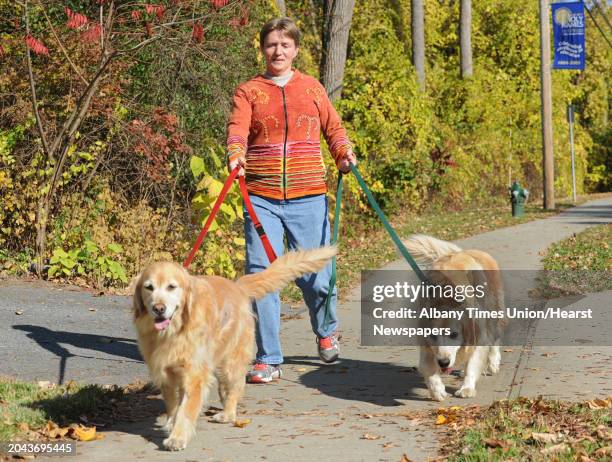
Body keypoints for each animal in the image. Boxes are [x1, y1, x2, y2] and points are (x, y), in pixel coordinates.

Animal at [131, 247, 338, 450]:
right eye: (149, 287)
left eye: (171, 287)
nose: (158, 308)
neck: (174, 331)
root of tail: (237, 285)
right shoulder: (165, 373)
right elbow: (174, 405)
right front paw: (172, 425)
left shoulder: (194, 375)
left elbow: (186, 410)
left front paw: (178, 437)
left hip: (231, 362)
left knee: (234, 389)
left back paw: (227, 414)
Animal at [400, 235, 504, 400]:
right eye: (433, 335)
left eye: (454, 334)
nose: (443, 362)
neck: (445, 299)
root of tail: (464, 252)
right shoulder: (426, 344)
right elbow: (428, 369)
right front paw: (437, 390)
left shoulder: (478, 333)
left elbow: (473, 364)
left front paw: (467, 388)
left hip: (493, 310)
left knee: (495, 338)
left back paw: (493, 363)